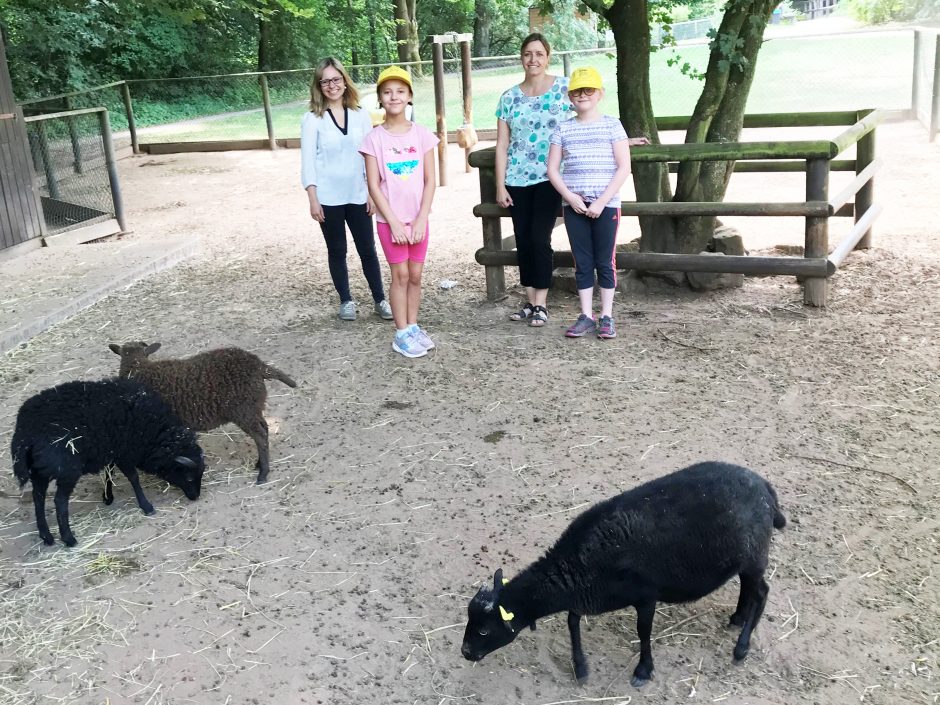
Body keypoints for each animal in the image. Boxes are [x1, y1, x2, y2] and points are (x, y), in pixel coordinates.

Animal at [10, 376, 204, 548]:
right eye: (188, 477)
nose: (195, 497)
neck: (153, 431)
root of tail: (25, 433)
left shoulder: (112, 450)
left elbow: (109, 472)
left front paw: (108, 497)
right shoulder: (124, 453)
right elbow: (133, 478)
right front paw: (146, 506)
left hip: (38, 470)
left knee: (38, 497)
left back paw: (47, 537)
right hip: (67, 470)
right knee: (59, 501)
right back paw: (69, 539)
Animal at [107, 340, 300, 484]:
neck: (138, 369)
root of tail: (259, 366)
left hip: (243, 411)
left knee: (260, 435)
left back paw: (263, 474)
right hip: (253, 407)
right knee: (265, 430)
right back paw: (259, 464)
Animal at [462, 460, 784, 684]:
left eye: (484, 629)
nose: (465, 652)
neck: (582, 563)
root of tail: (766, 488)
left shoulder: (645, 596)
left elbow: (643, 631)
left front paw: (643, 670)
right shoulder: (588, 595)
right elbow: (572, 621)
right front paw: (581, 668)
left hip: (755, 553)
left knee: (762, 592)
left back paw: (741, 648)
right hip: (744, 558)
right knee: (749, 588)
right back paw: (737, 618)